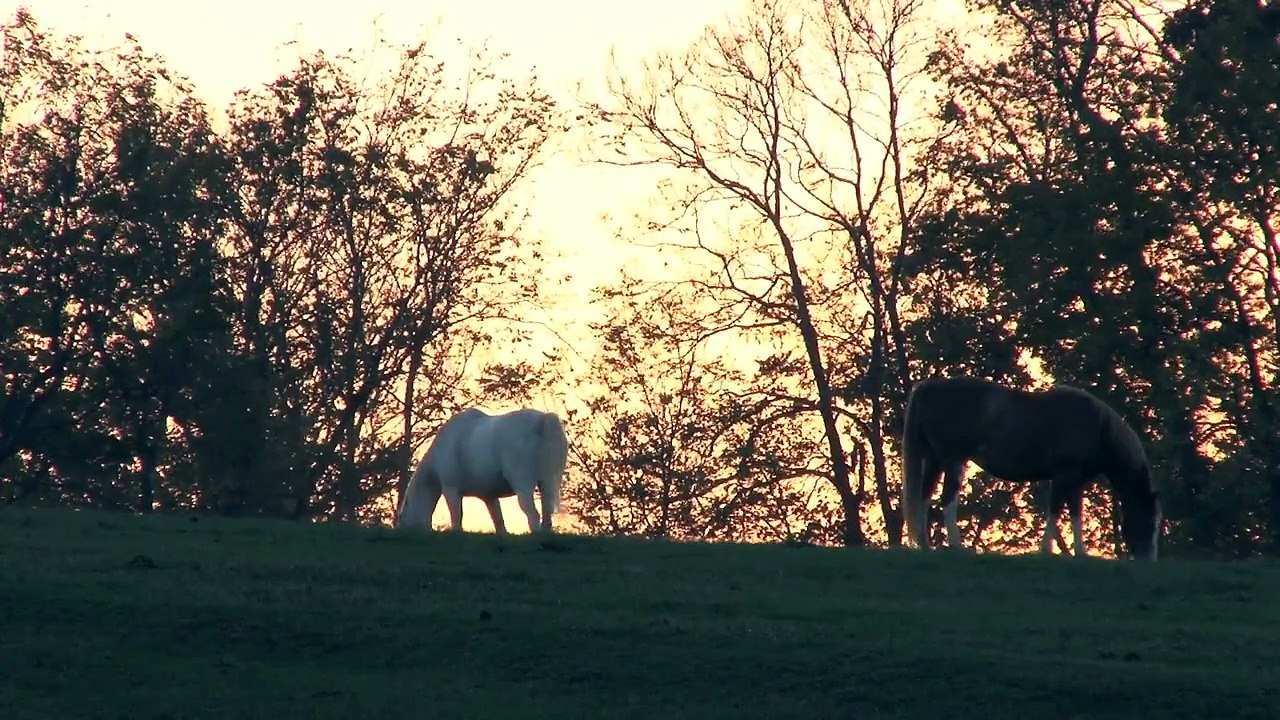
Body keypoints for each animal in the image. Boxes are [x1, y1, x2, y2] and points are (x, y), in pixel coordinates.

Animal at [395, 407, 569, 535]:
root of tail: (542, 420)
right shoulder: (489, 496)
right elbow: (498, 519)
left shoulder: (451, 489)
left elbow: (456, 515)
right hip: (547, 481)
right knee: (546, 512)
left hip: (523, 484)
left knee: (532, 513)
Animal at [900, 376, 1161, 560]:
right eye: (1150, 520)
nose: (1149, 559)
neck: (1098, 427)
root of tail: (929, 387)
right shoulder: (1067, 475)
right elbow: (1067, 511)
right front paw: (1070, 551)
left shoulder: (1066, 478)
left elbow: (1061, 510)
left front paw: (1056, 550)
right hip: (953, 461)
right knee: (947, 500)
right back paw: (956, 545)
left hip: (935, 461)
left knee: (924, 497)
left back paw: (925, 544)